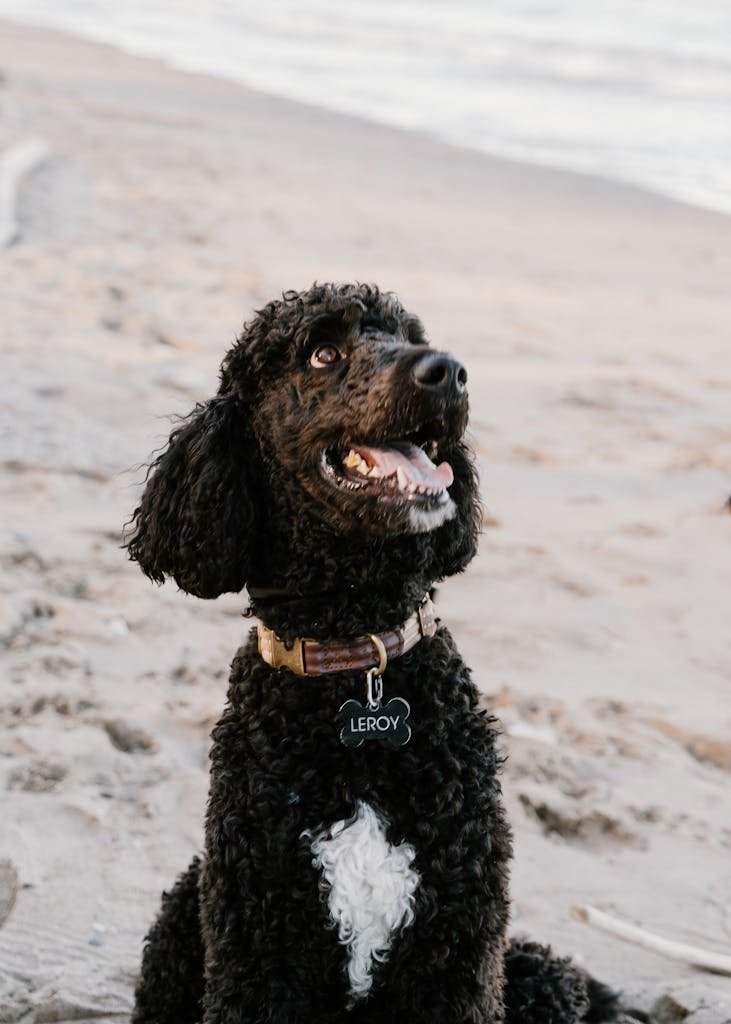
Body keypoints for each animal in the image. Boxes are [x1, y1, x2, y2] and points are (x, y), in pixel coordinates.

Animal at [125, 282, 614, 1024]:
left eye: (410, 335)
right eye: (321, 352)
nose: (450, 371)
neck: (355, 661)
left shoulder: (459, 949)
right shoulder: (255, 944)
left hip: (538, 974)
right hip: (184, 913)